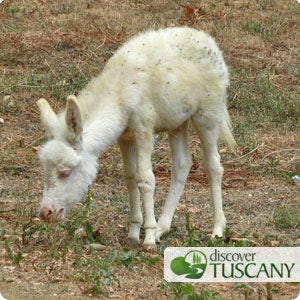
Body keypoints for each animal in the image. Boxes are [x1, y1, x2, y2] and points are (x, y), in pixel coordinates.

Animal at [37, 27, 237, 248]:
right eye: (45, 170)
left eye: (65, 173)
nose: (45, 213)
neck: (120, 92)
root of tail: (206, 38)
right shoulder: (125, 137)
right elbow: (131, 178)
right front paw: (134, 233)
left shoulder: (144, 130)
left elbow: (145, 179)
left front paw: (148, 237)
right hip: (177, 122)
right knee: (182, 164)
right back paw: (162, 228)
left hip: (207, 115)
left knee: (213, 165)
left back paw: (217, 230)